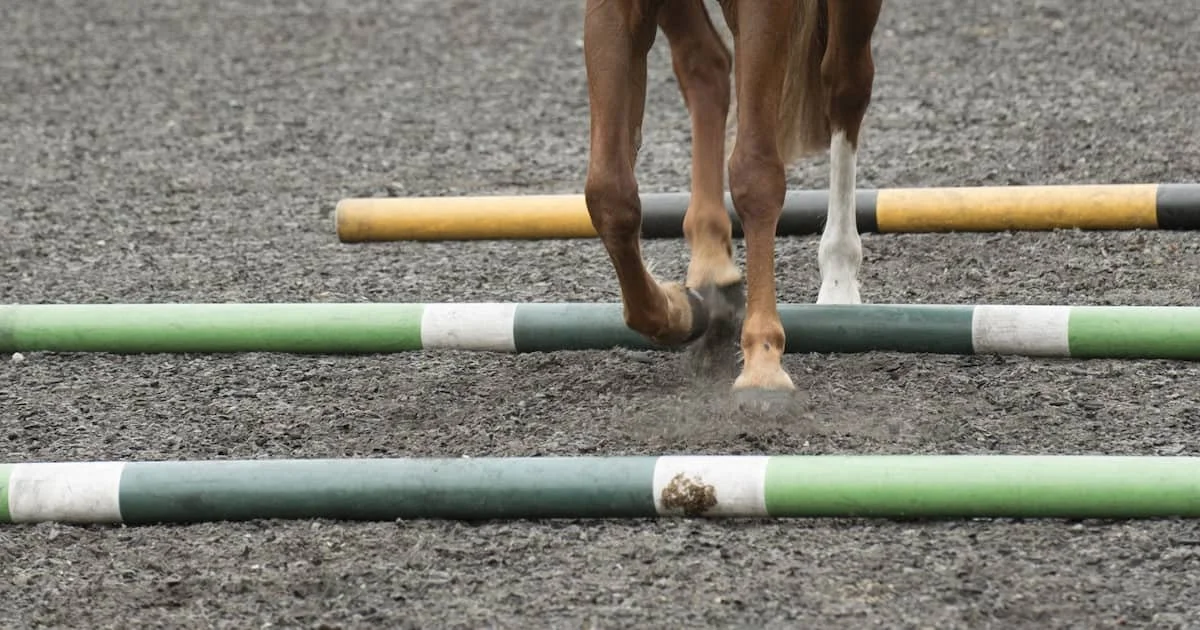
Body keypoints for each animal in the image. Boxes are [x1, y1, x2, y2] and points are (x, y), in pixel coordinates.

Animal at [582, 0, 881, 398]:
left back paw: (839, 281)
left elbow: (754, 174)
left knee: (846, 84)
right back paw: (710, 258)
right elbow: (608, 195)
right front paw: (679, 309)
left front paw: (763, 362)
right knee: (705, 63)